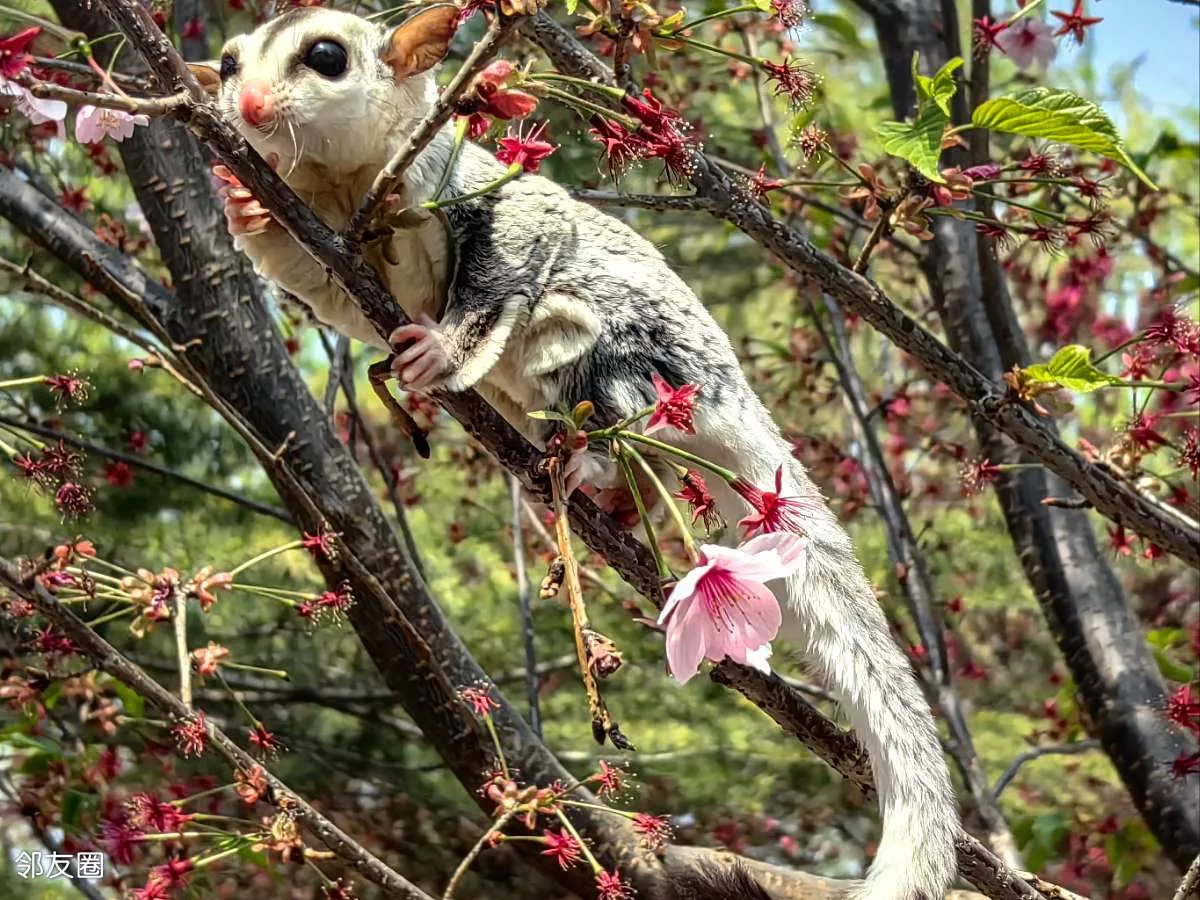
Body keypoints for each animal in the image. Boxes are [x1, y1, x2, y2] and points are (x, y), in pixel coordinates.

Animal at [192, 7, 960, 899]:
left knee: (591, 357)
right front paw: (244, 203)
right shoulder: (335, 247)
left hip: (632, 348)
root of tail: (732, 398)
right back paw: (600, 496)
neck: (345, 181)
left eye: (325, 57)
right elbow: (327, 291)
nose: (245, 105)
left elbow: (516, 245)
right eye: (227, 62)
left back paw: (582, 463)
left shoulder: (462, 182)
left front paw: (440, 351)